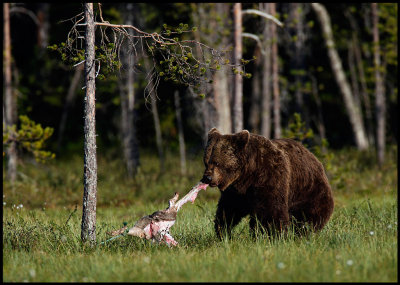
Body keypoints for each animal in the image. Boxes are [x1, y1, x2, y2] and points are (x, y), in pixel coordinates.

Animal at [200, 127, 334, 237]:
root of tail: (315, 158)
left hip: (308, 190)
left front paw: (272, 234)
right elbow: (229, 208)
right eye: (206, 162)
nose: (207, 178)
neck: (248, 174)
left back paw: (304, 232)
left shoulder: (270, 175)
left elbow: (270, 210)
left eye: (217, 162)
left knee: (309, 216)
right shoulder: (236, 191)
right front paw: (222, 230)